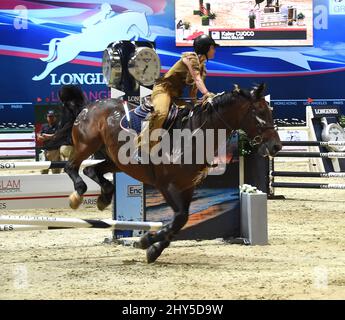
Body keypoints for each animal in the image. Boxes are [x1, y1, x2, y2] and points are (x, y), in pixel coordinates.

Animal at [65, 84, 282, 264]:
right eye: (260, 112)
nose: (276, 146)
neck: (193, 136)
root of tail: (90, 105)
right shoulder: (166, 185)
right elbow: (178, 218)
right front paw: (146, 241)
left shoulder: (187, 186)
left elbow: (181, 220)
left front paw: (153, 248)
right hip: (87, 145)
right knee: (71, 167)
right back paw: (77, 195)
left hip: (117, 161)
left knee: (91, 170)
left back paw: (104, 197)